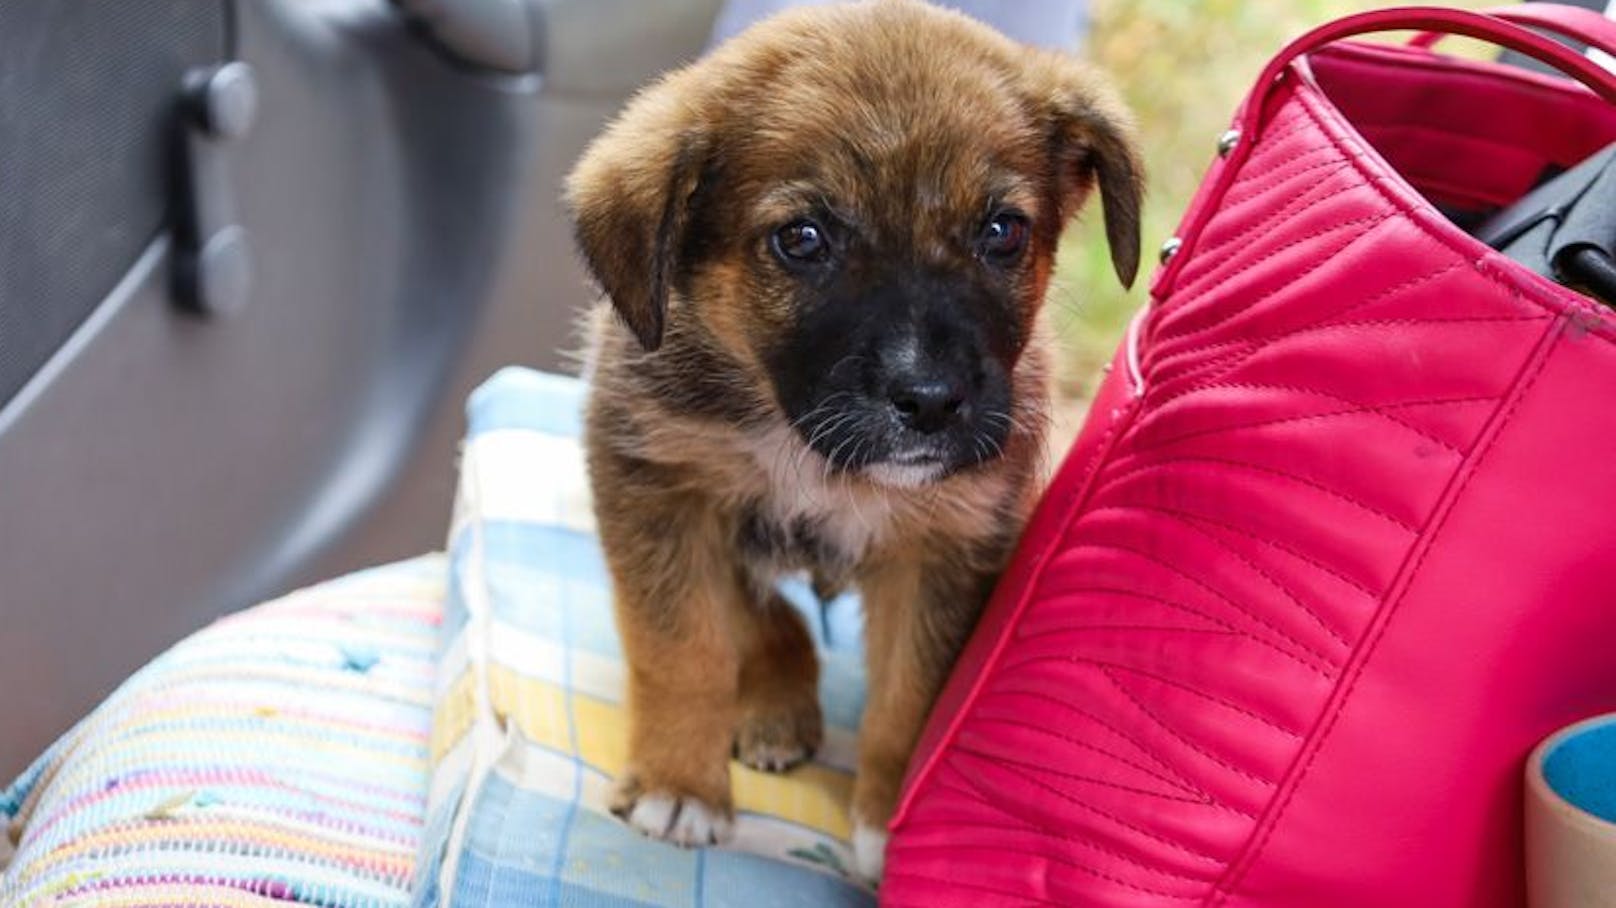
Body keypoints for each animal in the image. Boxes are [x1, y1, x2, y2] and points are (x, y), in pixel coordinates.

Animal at [562, 0, 1144, 878]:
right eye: (802, 239)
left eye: (1002, 231)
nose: (932, 402)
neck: (806, 448)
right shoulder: (660, 487)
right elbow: (684, 649)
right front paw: (679, 784)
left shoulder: (946, 546)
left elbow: (909, 700)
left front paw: (883, 826)